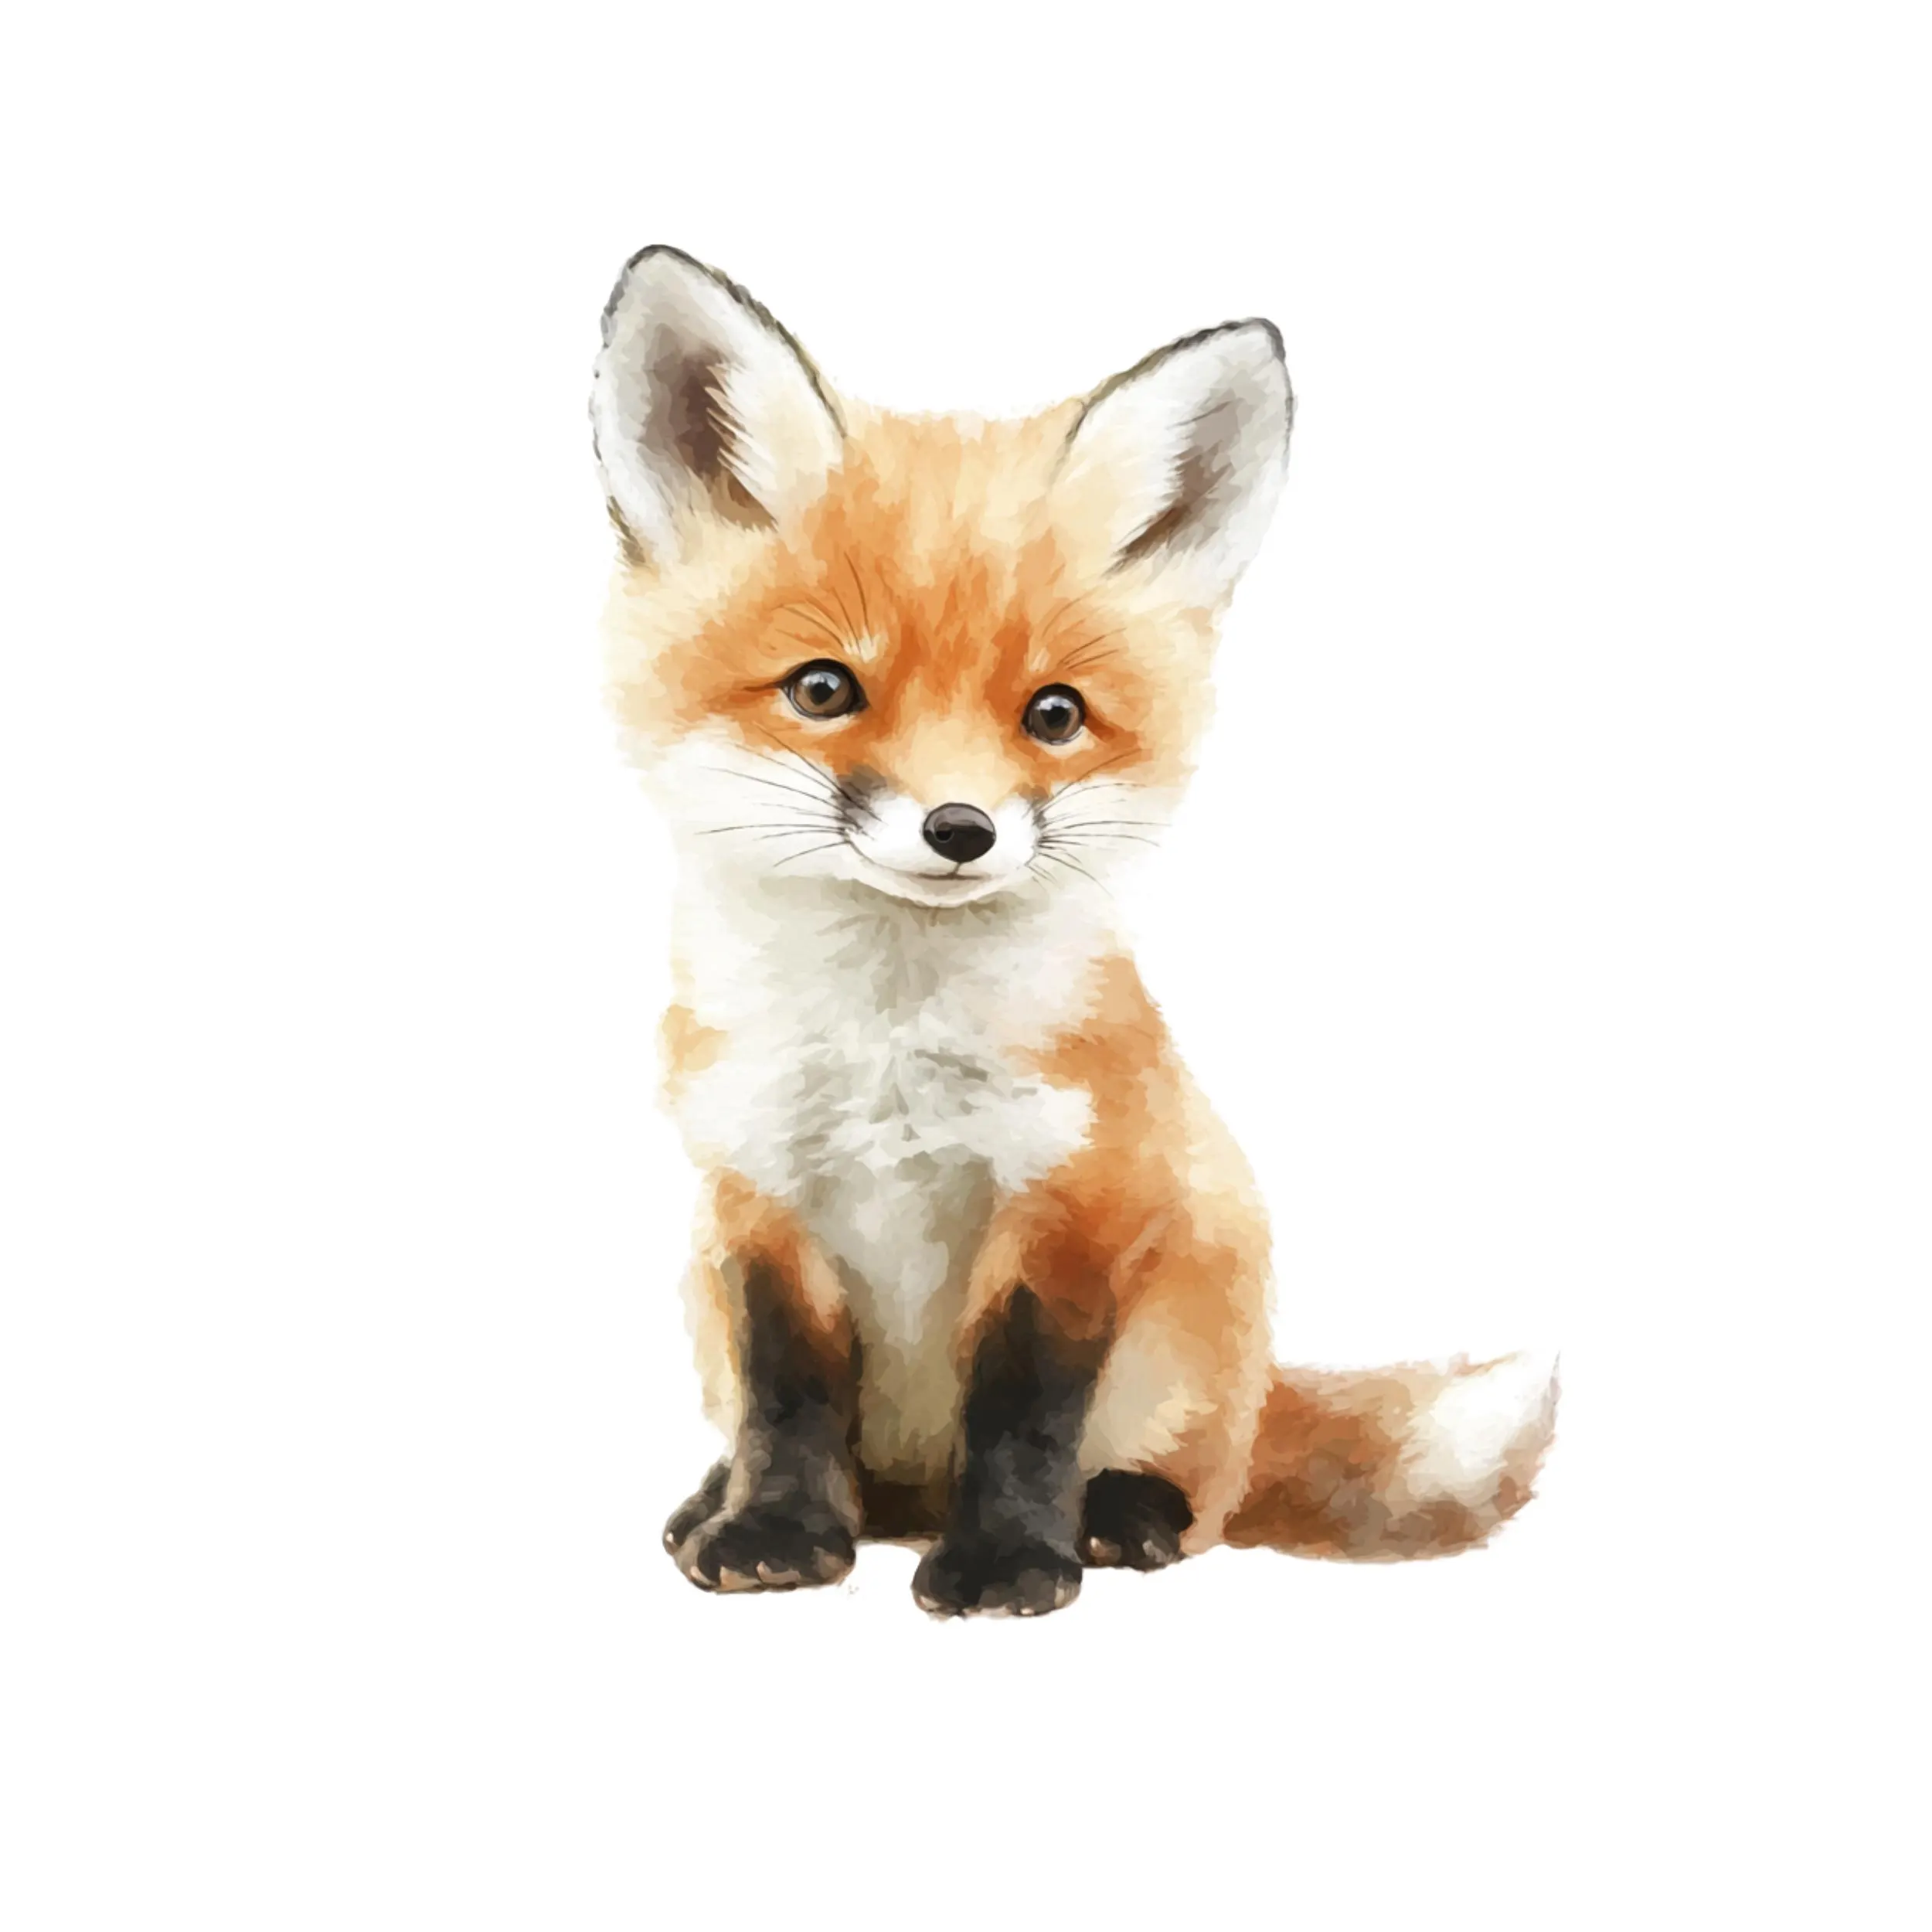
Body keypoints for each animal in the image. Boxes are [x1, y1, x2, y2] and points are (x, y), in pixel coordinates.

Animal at [592, 245, 1557, 1617]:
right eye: (824, 690)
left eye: (1054, 714)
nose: (958, 829)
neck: (890, 1044)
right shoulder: (754, 1201)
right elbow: (787, 1396)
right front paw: (774, 1531)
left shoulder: (1077, 1195)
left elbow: (1025, 1407)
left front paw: (1009, 1562)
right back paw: (721, 1502)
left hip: (1201, 1311)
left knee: (1204, 1491)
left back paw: (1120, 1517)